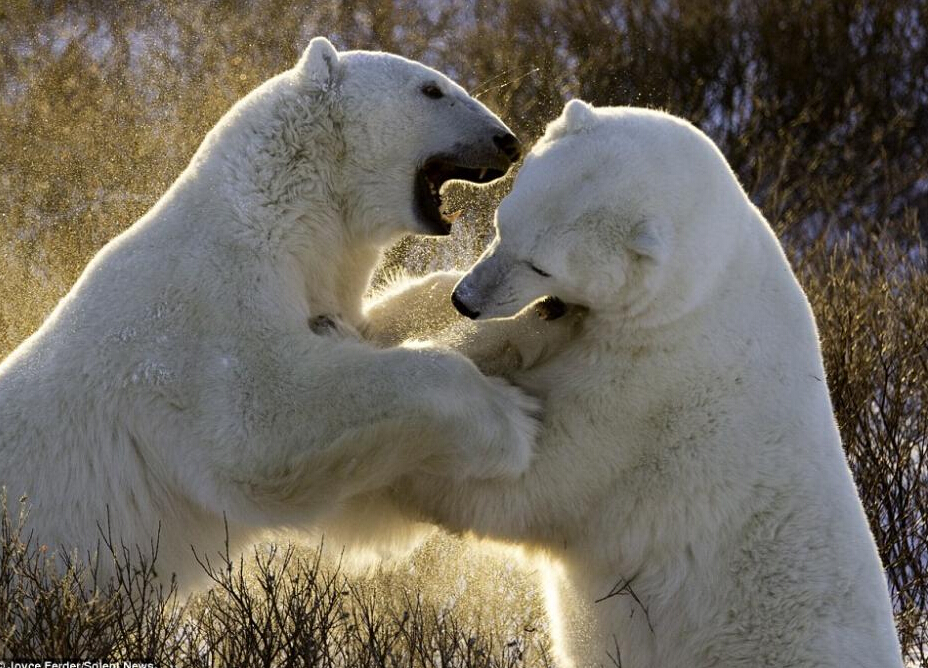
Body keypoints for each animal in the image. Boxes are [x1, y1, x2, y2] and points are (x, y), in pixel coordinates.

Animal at [0, 37, 544, 588]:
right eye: (431, 89)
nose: (507, 142)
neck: (276, 211)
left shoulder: (316, 280)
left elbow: (371, 330)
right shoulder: (208, 305)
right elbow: (264, 422)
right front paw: (511, 421)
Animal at [380, 100, 904, 668]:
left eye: (542, 265)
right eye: (501, 223)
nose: (467, 299)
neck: (696, 293)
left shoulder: (650, 392)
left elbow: (540, 481)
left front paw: (401, 466)